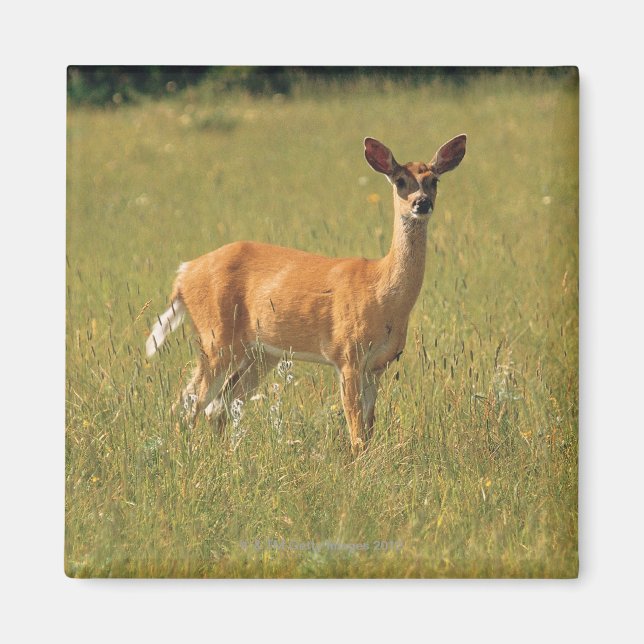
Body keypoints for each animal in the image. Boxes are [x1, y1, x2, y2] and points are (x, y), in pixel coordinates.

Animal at [146, 134, 466, 455]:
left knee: (217, 405)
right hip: (215, 338)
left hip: (261, 353)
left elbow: (369, 425)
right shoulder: (347, 354)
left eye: (434, 180)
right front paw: (358, 462)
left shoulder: (377, 365)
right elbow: (355, 428)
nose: (421, 203)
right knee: (187, 404)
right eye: (400, 180)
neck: (382, 292)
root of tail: (184, 273)